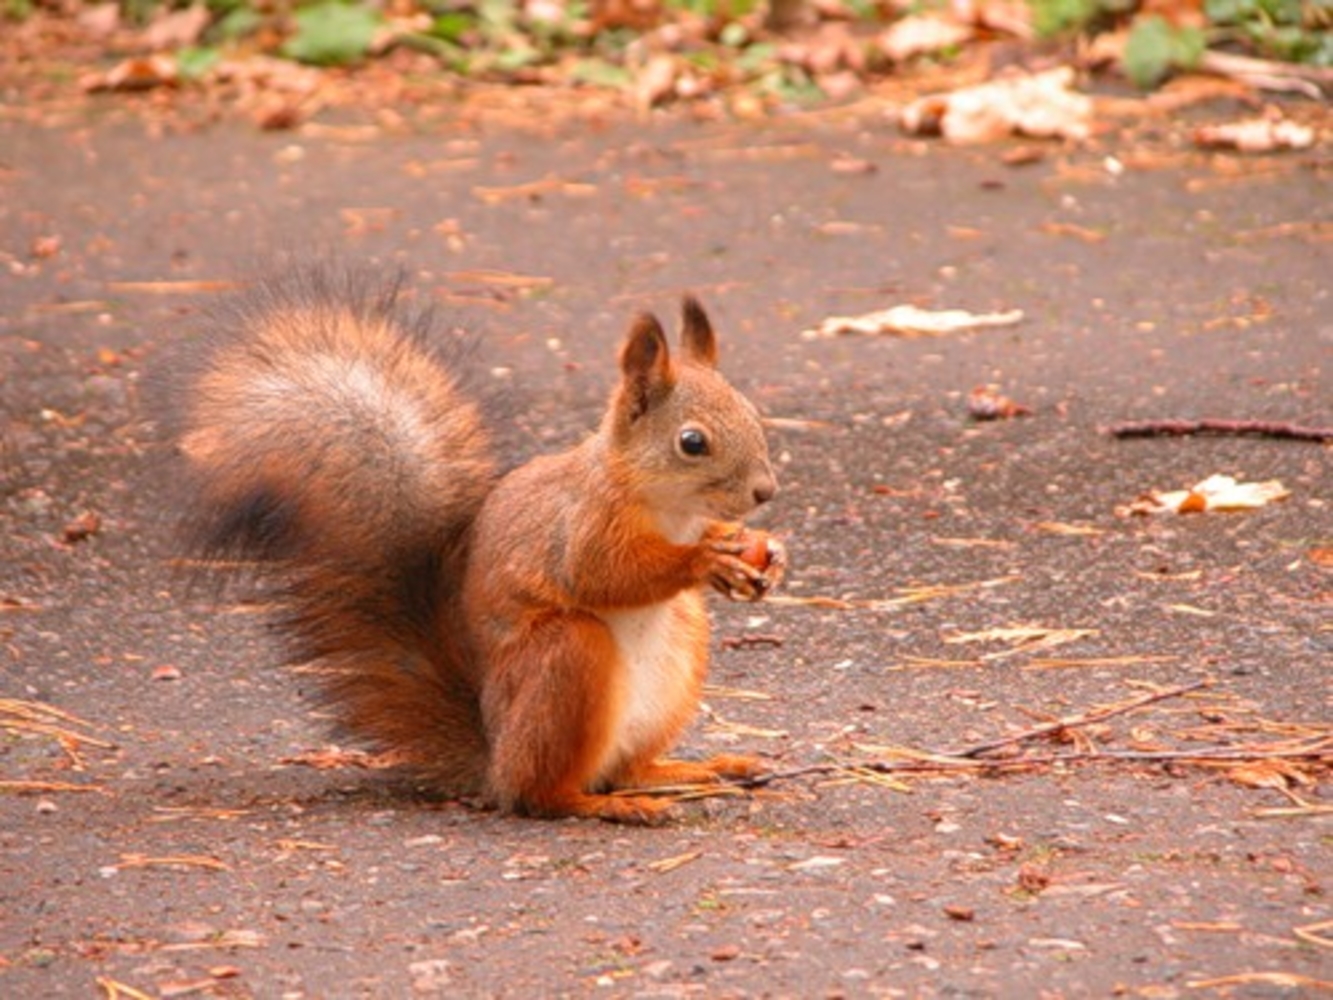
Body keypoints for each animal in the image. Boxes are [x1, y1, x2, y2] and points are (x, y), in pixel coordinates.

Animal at [170, 264, 783, 821]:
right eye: (692, 442)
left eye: (752, 413)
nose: (766, 491)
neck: (670, 509)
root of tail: (494, 760)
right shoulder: (583, 524)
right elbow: (604, 575)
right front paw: (705, 559)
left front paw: (764, 554)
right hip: (564, 657)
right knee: (541, 794)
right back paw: (605, 805)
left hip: (680, 649)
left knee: (627, 768)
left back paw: (699, 769)